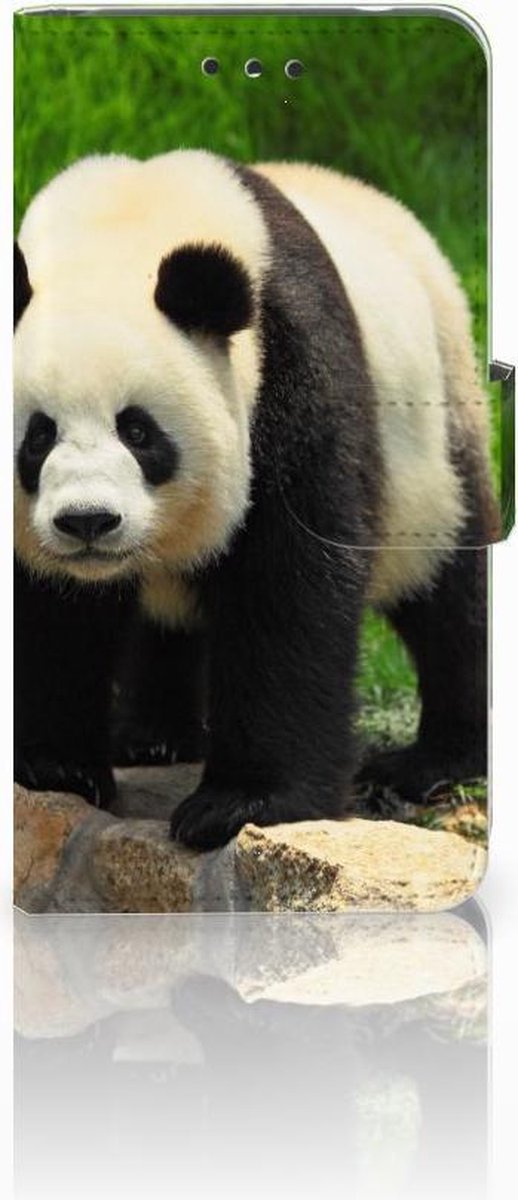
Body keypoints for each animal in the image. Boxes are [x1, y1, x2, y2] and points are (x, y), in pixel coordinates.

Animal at [13, 150, 499, 849]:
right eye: (38, 435)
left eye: (138, 431)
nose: (88, 522)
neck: (121, 232)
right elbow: (52, 610)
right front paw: (56, 768)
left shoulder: (291, 365)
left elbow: (289, 584)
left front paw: (243, 804)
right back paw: (154, 737)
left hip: (436, 434)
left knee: (450, 592)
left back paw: (434, 760)